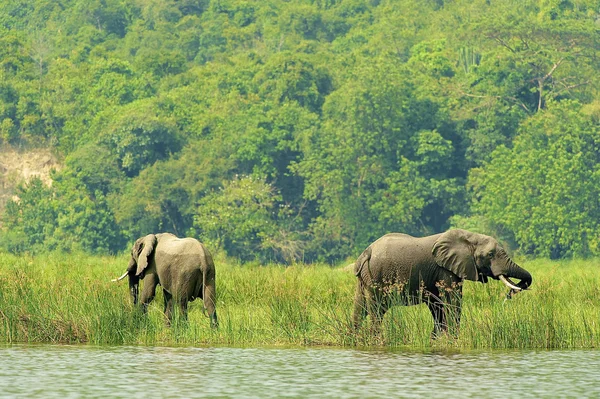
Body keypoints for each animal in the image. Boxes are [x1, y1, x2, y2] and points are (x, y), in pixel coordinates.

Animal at [354, 230, 532, 340]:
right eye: (490, 255)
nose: (509, 295)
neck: (469, 236)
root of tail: (367, 252)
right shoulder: (445, 270)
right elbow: (453, 302)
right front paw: (453, 339)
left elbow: (438, 306)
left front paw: (435, 340)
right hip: (377, 276)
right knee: (377, 310)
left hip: (365, 278)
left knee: (360, 308)